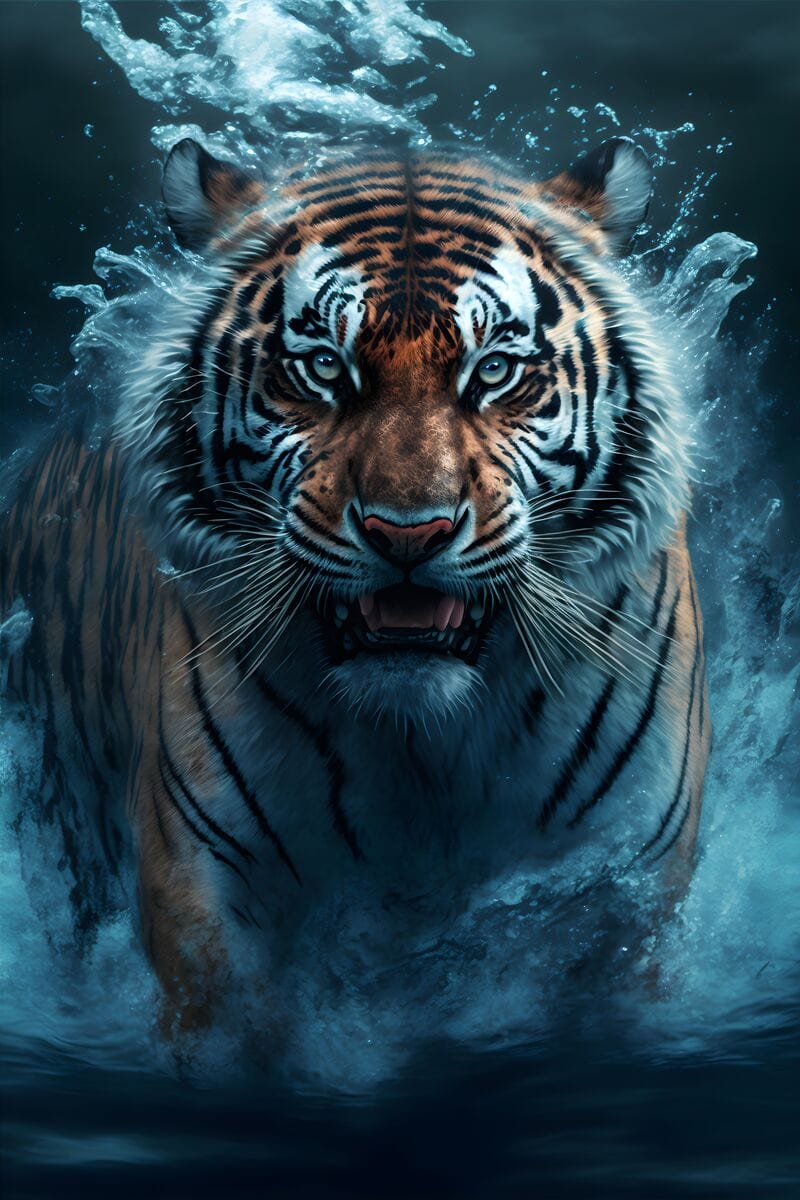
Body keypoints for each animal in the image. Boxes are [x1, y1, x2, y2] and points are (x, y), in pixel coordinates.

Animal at [0, 135, 710, 1031]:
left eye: (495, 371)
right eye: (320, 368)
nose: (409, 532)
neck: (423, 745)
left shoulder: (627, 873)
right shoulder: (202, 879)